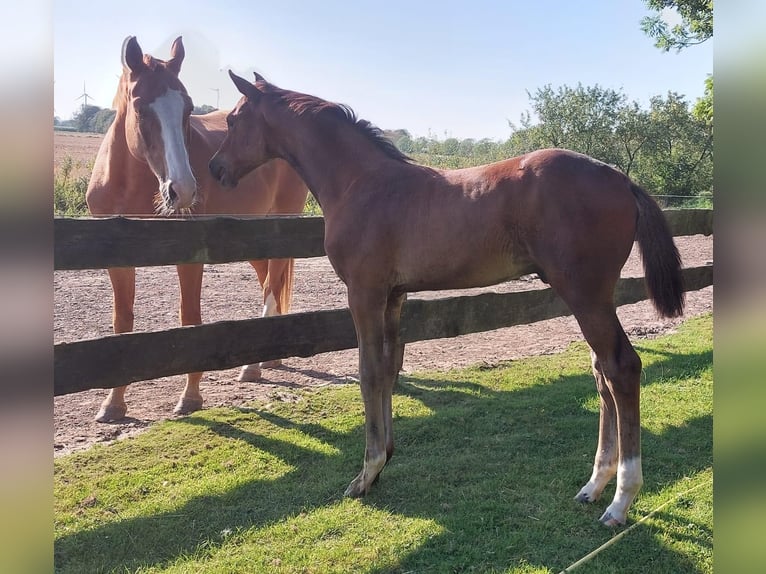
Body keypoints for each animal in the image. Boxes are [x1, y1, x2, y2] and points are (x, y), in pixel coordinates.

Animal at [85, 37, 308, 424]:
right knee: (269, 278)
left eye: (188, 107)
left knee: (270, 284)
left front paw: (190, 397)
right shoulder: (117, 260)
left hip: (283, 224)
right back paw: (272, 356)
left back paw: (252, 367)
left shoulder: (189, 257)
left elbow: (190, 319)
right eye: (140, 107)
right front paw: (113, 403)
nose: (184, 190)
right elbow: (121, 323)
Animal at [210, 71, 684, 528]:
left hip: (585, 294)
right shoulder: (394, 297)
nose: (215, 169)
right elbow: (387, 370)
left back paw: (620, 500)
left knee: (621, 368)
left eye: (232, 120)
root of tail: (621, 178)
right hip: (594, 297)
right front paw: (384, 461)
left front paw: (365, 473)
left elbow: (367, 373)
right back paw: (595, 485)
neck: (361, 184)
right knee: (602, 373)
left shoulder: (364, 293)